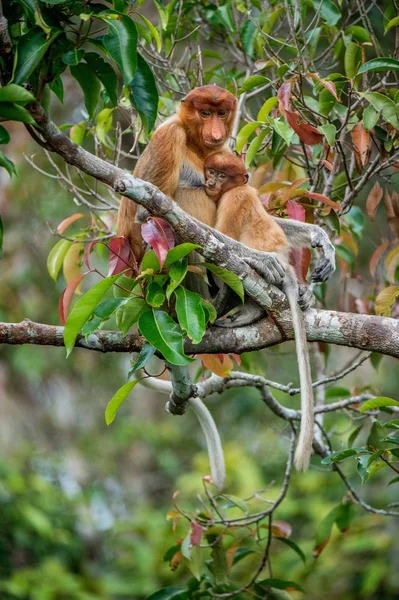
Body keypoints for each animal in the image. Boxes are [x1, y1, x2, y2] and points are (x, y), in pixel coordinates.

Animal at [205, 152, 318, 472]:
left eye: (221, 176)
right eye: (211, 171)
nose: (210, 182)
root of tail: (290, 271)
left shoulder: (235, 197)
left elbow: (221, 238)